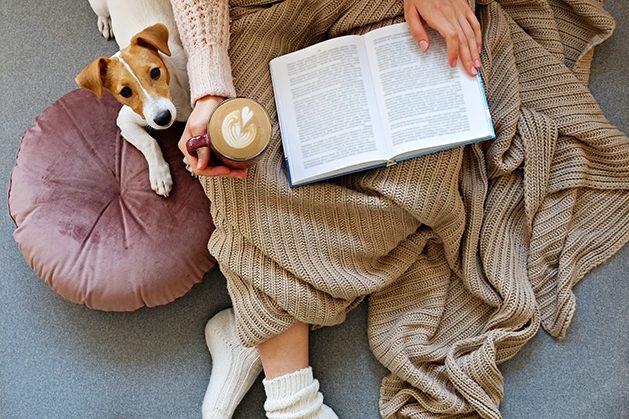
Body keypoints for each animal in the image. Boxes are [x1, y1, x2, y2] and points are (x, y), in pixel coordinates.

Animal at [75, 0, 190, 198]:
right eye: (125, 92)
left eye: (155, 72)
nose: (163, 118)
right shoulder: (125, 120)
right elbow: (149, 142)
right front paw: (160, 174)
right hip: (98, 5)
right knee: (102, 13)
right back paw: (106, 22)